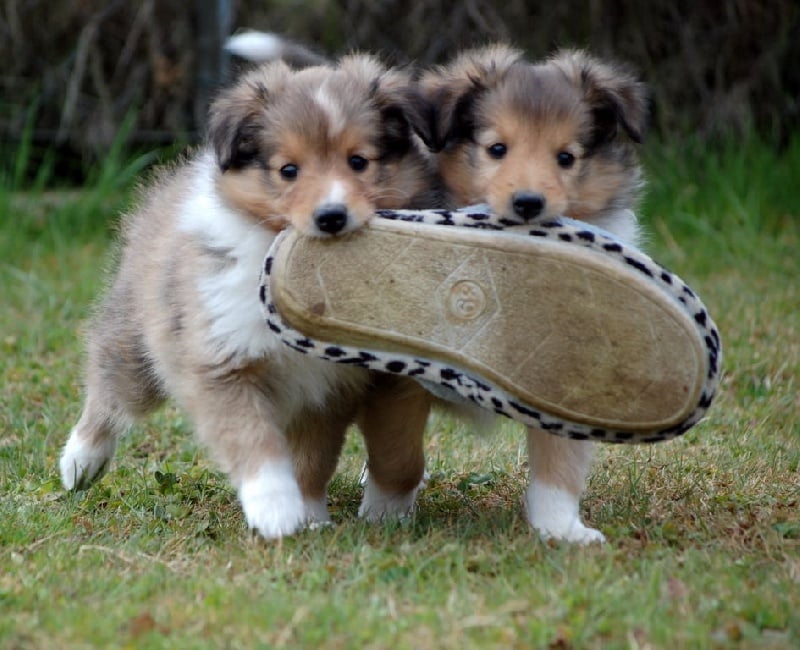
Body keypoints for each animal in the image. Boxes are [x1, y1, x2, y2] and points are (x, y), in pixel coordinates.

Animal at [58, 53, 438, 536]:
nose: (331, 217)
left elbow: (312, 459)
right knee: (109, 392)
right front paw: (274, 509)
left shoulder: (326, 389)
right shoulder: (220, 363)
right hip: (138, 342)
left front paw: (308, 515)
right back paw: (79, 462)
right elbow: (253, 440)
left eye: (359, 161)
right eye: (288, 170)